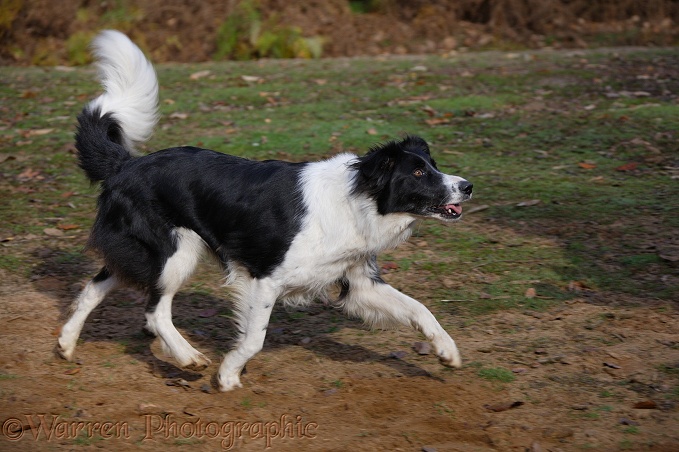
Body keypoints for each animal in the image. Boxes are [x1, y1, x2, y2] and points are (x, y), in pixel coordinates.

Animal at [57, 30, 472, 390]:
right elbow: (255, 339)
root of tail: (125, 164)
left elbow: (419, 308)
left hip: (146, 252)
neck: (358, 200)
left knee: (98, 284)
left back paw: (66, 343)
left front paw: (447, 351)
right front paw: (227, 375)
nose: (468, 186)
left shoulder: (358, 282)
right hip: (177, 251)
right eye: (418, 172)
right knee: (154, 311)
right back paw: (188, 357)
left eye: (432, 165)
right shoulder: (265, 278)